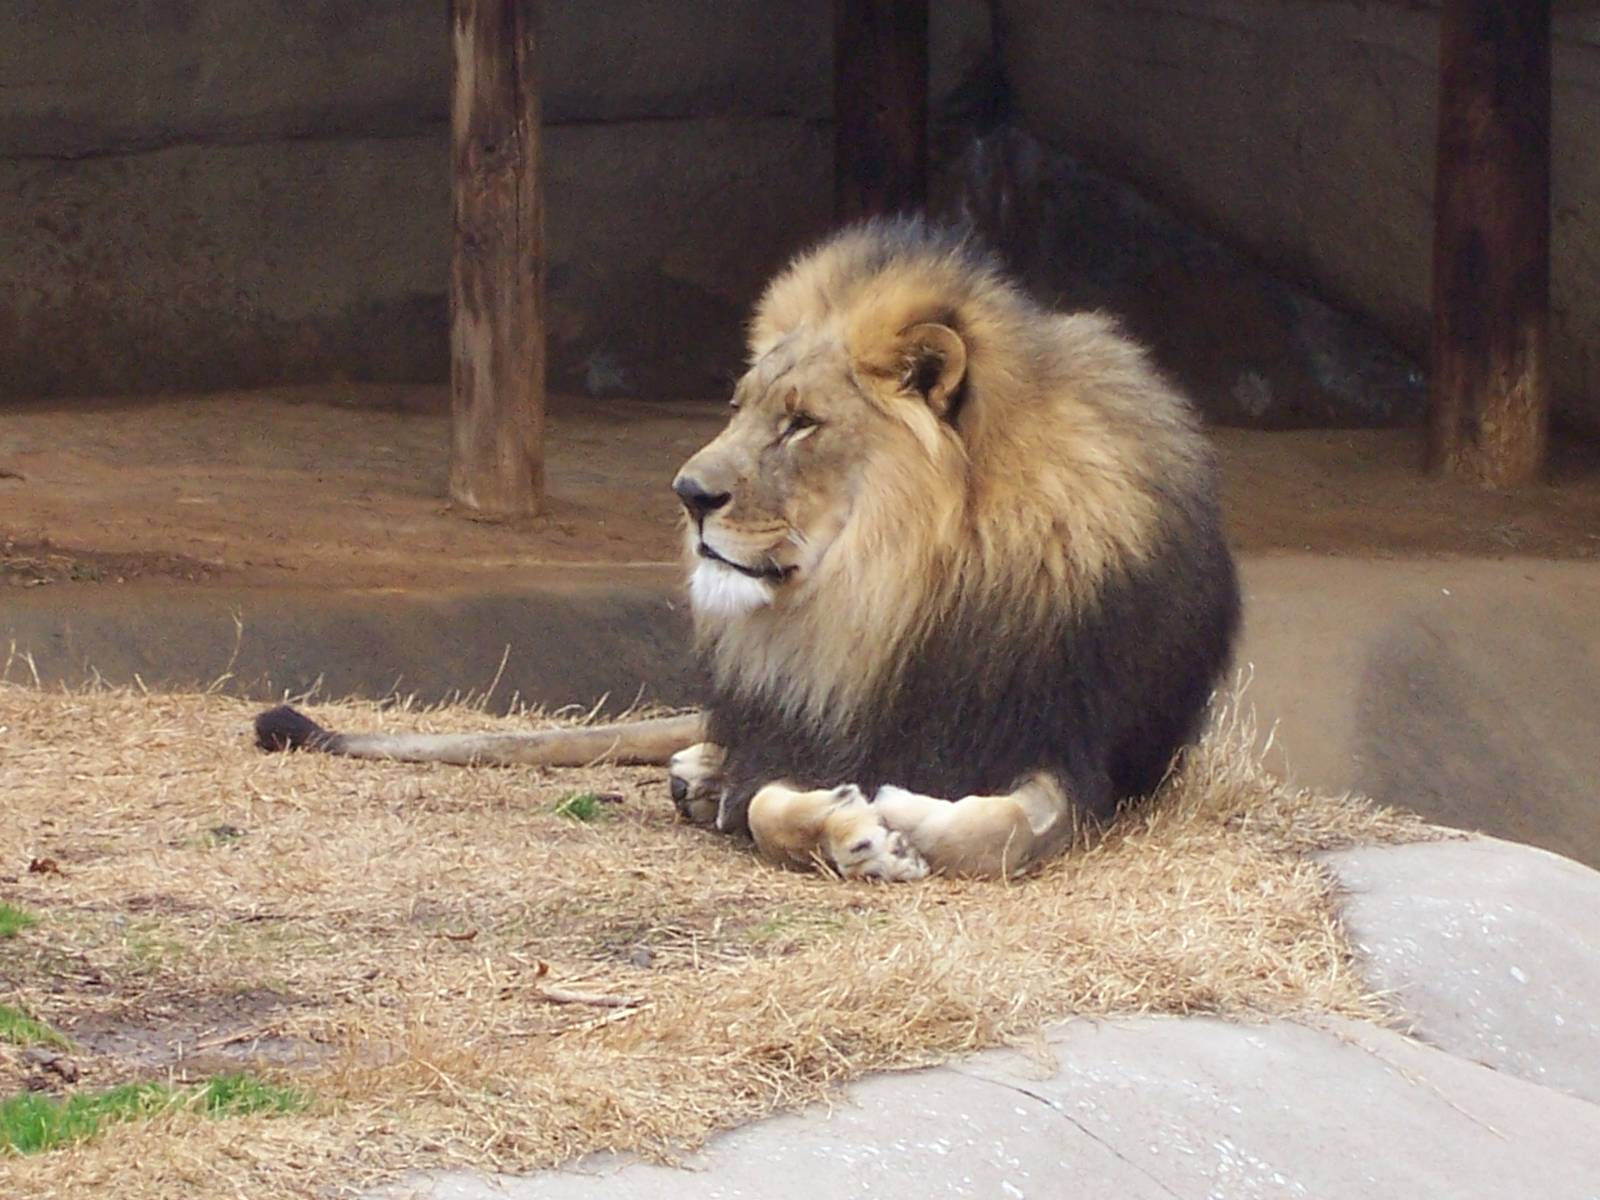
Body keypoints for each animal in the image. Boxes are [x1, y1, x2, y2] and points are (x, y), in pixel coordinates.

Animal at [256, 218, 1240, 881]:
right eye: (741, 406)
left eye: (801, 424)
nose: (689, 494)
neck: (884, 593)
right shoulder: (798, 725)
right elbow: (769, 804)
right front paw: (848, 831)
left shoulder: (1061, 742)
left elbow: (993, 830)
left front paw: (902, 814)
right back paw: (700, 775)